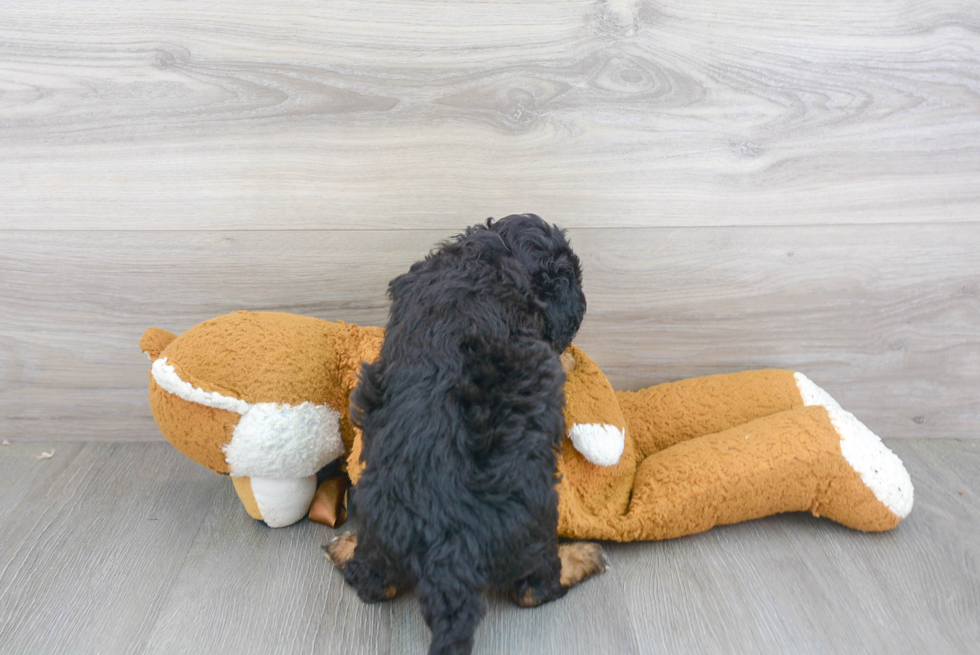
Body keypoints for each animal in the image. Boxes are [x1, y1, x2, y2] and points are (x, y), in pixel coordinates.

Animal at [328, 215, 604, 655]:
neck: (496, 252)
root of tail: (449, 550)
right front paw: (567, 360)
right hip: (536, 518)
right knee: (533, 590)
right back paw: (584, 557)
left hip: (380, 518)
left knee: (373, 582)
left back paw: (343, 546)